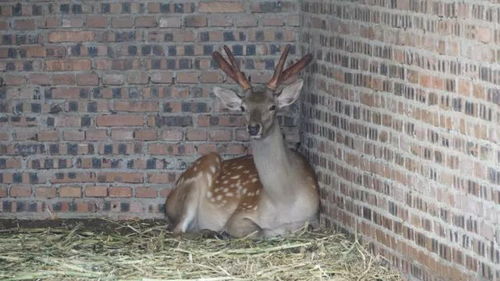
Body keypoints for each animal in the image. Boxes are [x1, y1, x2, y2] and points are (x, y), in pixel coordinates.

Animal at [165, 44, 320, 237]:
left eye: (272, 106)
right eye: (243, 107)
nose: (253, 127)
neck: (284, 201)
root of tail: (166, 202)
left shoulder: (314, 217)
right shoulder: (241, 212)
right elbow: (259, 231)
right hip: (198, 175)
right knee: (177, 230)